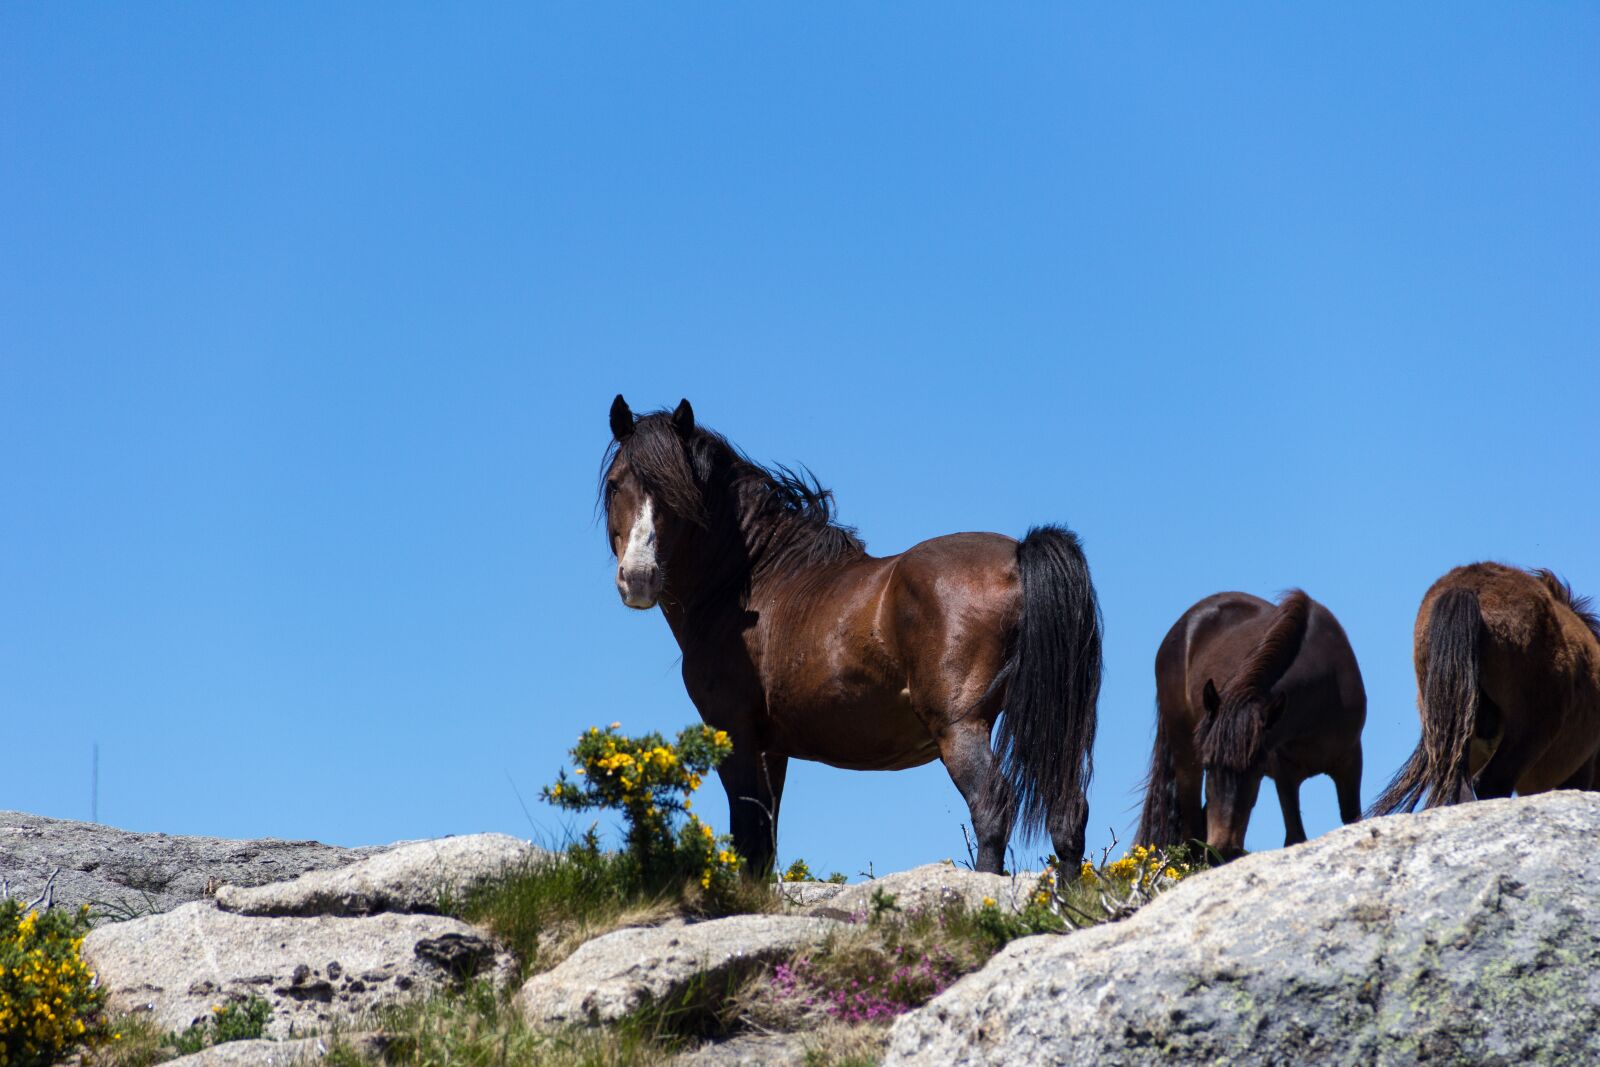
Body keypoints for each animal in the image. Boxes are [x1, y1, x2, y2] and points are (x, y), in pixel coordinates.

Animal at [598, 395, 1102, 875]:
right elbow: (765, 840)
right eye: (616, 483)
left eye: (679, 491)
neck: (753, 582)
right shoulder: (770, 748)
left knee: (992, 805)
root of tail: (1019, 554)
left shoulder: (734, 732)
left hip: (960, 726)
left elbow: (747, 836)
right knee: (1068, 814)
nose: (639, 578)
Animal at [1136, 589, 1366, 860]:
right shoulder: (1285, 775)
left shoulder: (1350, 763)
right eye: (1207, 764)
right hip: (1184, 761)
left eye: (1255, 767)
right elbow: (1295, 837)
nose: (1222, 851)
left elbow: (1352, 820)